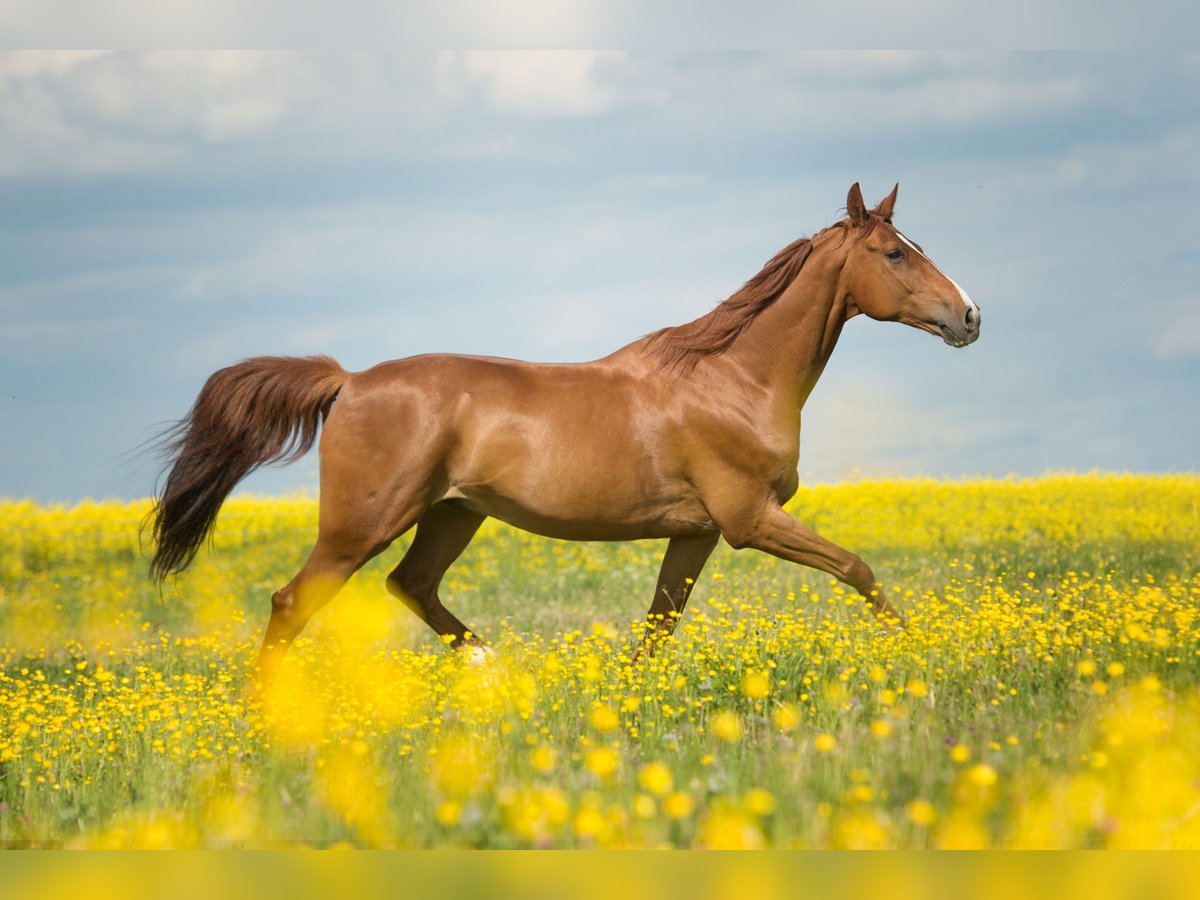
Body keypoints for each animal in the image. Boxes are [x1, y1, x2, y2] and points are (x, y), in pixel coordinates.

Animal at [150, 184, 979, 691]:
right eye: (894, 252)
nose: (969, 316)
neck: (733, 380)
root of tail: (348, 381)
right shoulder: (748, 521)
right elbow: (858, 569)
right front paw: (923, 652)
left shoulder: (699, 532)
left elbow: (658, 625)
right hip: (363, 523)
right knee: (293, 602)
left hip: (454, 513)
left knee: (411, 586)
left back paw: (492, 665)